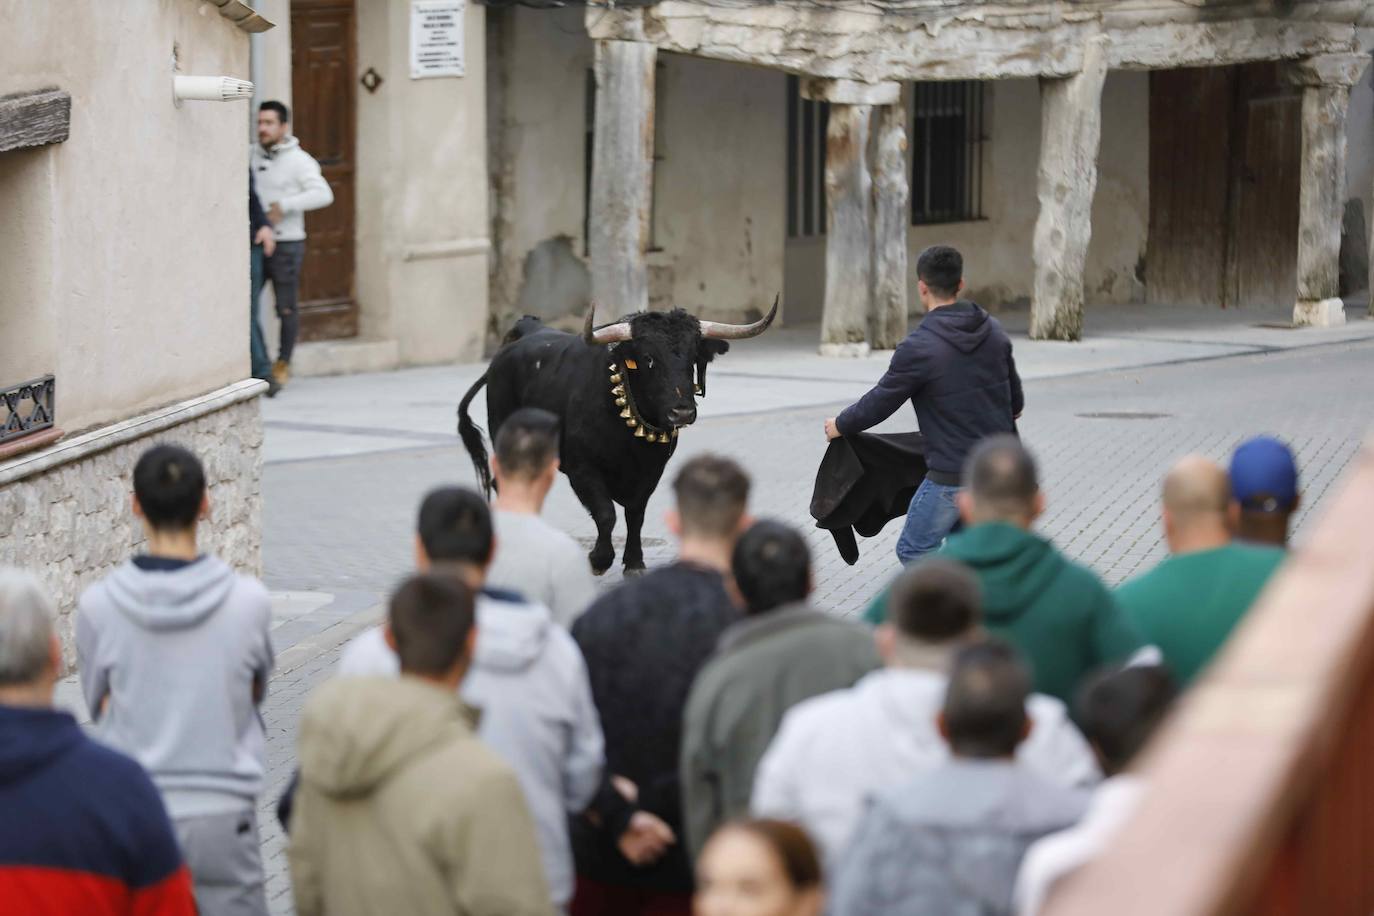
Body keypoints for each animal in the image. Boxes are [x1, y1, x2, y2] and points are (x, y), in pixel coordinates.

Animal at [461, 300, 780, 574]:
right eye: (649, 359)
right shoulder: (582, 469)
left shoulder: (651, 473)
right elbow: (606, 514)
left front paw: (634, 562)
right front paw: (599, 559)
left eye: (693, 359)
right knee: (503, 482)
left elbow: (635, 515)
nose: (682, 412)